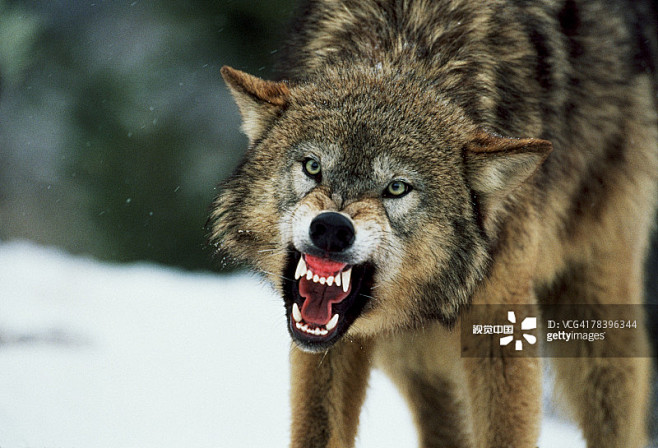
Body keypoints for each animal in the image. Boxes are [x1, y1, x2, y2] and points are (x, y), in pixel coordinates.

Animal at [210, 0, 658, 446]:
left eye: (396, 188)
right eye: (312, 166)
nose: (332, 228)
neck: (402, 48)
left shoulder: (500, 324)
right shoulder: (329, 341)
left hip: (595, 316)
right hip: (411, 355)